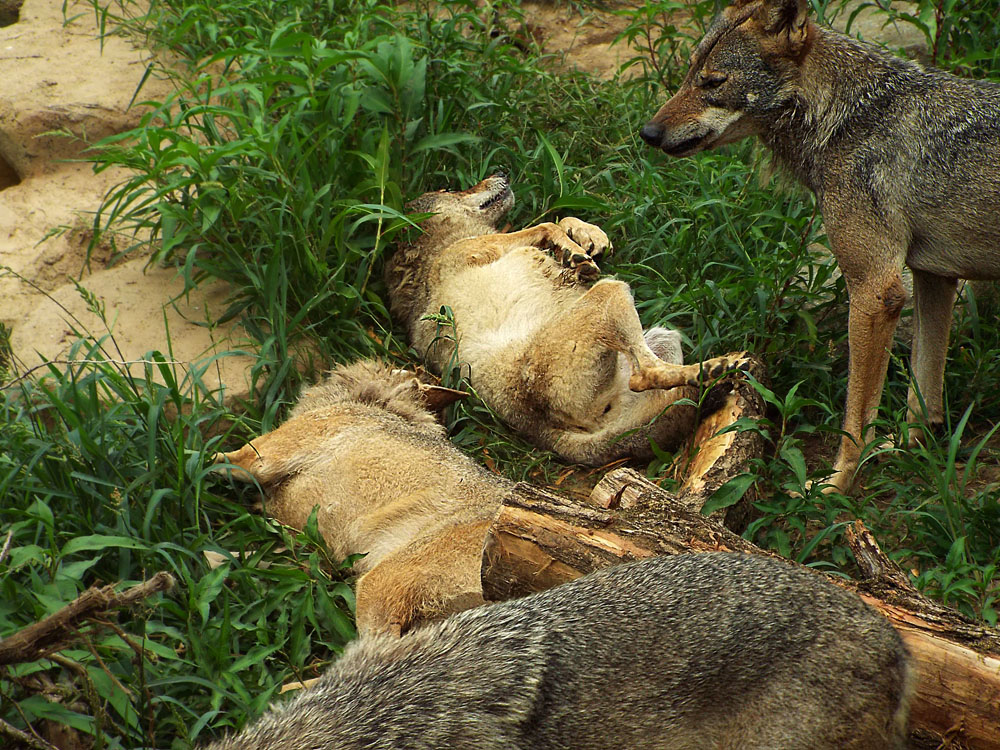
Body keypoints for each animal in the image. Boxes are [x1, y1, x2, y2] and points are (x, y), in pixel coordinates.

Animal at [386, 178, 748, 470]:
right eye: (451, 189)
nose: (502, 171)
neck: (436, 247)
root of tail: (542, 433)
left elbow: (561, 220)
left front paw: (585, 241)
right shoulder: (472, 249)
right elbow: (546, 222)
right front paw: (571, 248)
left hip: (661, 337)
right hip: (610, 294)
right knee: (647, 374)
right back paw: (717, 370)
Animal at [640, 0, 1000, 496]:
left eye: (713, 82)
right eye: (690, 72)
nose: (648, 132)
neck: (847, 117)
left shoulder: (875, 290)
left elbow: (855, 418)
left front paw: (835, 486)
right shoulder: (935, 278)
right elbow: (922, 397)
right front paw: (903, 451)